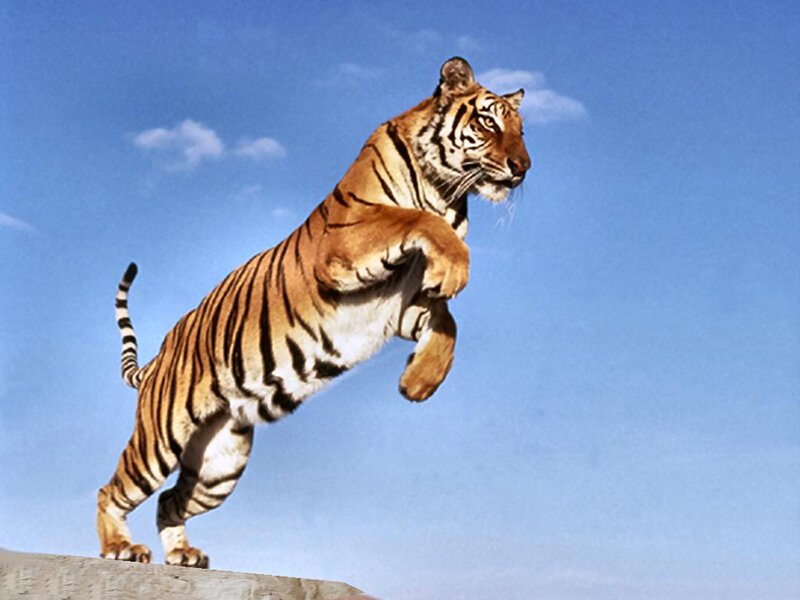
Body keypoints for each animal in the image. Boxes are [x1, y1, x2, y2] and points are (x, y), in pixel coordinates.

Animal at [97, 56, 531, 568]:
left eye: (522, 130)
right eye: (489, 122)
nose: (523, 168)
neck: (447, 193)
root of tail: (159, 357)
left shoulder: (403, 303)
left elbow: (448, 324)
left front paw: (419, 382)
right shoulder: (345, 243)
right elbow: (419, 221)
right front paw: (455, 268)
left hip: (220, 465)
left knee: (169, 499)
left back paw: (184, 554)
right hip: (161, 437)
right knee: (113, 490)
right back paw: (120, 547)